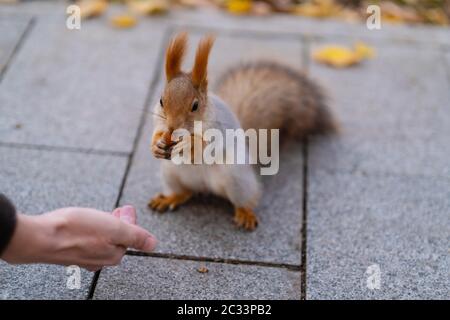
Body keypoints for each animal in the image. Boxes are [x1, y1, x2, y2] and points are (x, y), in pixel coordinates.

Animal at [148, 32, 334, 230]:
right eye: (161, 101)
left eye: (195, 105)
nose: (172, 127)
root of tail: (205, 187)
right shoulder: (160, 122)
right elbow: (157, 131)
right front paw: (156, 144)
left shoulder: (220, 129)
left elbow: (208, 146)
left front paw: (189, 143)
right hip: (171, 174)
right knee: (185, 192)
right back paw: (169, 198)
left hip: (236, 179)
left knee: (247, 198)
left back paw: (245, 213)